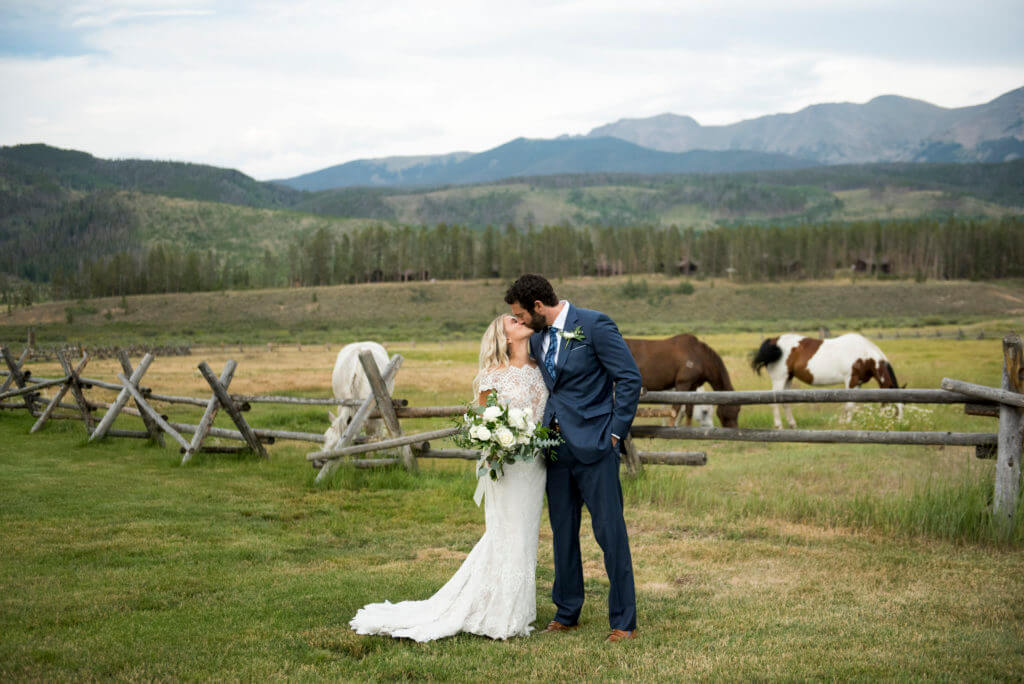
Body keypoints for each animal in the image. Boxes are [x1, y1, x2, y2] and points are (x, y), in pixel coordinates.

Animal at [749, 331, 901, 428]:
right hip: (779, 379)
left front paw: (845, 422)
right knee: (774, 402)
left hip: (788, 378)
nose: (898, 425)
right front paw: (845, 424)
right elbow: (849, 405)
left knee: (785, 402)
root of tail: (774, 341)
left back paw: (792, 424)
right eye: (894, 408)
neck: (864, 353)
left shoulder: (858, 383)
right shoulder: (850, 381)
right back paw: (779, 426)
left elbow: (851, 405)